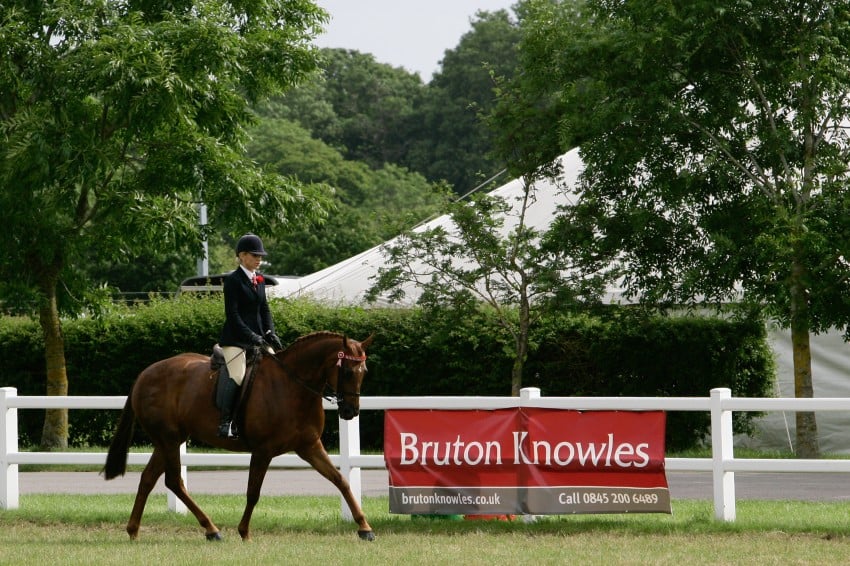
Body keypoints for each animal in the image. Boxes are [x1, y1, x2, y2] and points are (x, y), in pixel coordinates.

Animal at [102, 330, 374, 544]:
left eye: (364, 371)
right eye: (347, 372)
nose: (350, 412)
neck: (292, 386)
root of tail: (145, 374)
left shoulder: (309, 446)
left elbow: (341, 480)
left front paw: (364, 527)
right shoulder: (263, 450)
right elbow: (253, 492)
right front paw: (244, 531)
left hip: (169, 440)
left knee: (150, 479)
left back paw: (135, 530)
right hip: (168, 439)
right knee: (174, 481)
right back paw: (211, 529)